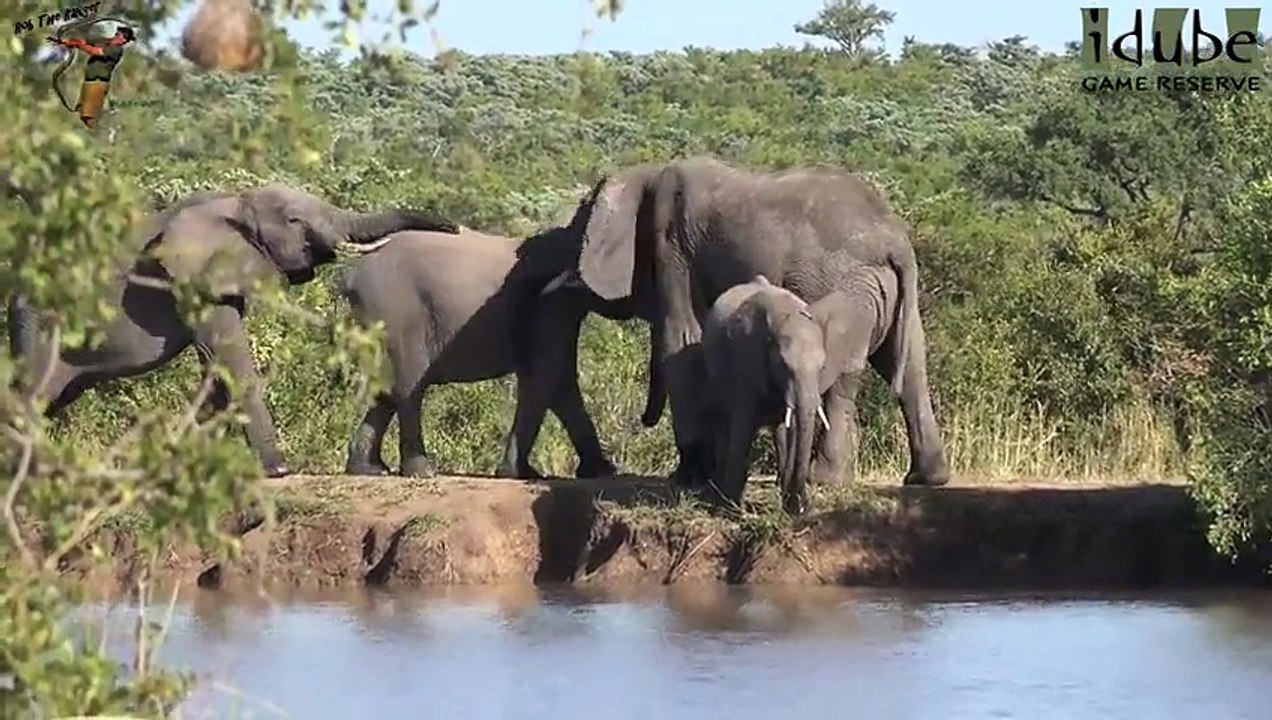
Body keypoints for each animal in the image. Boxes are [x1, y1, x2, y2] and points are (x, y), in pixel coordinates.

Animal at [6, 183, 459, 478]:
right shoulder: (197, 281)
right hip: (42, 327)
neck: (238, 201)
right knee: (32, 395)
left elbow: (215, 371)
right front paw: (278, 470)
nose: (454, 228)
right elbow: (231, 359)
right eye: (294, 220)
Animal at [338, 224, 629, 479]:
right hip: (396, 313)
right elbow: (545, 377)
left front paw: (604, 473)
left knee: (387, 390)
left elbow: (560, 382)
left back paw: (369, 469)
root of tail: (351, 275)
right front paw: (521, 474)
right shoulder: (547, 304)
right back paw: (422, 472)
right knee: (410, 387)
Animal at [548, 156, 950, 490]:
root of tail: (894, 239)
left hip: (842, 287)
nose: (642, 419)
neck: (646, 172)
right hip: (882, 291)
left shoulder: (672, 247)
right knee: (908, 365)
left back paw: (822, 480)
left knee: (845, 373)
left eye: (576, 229)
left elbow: (681, 341)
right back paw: (925, 478)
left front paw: (690, 477)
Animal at [701, 275, 831, 515]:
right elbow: (742, 423)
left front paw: (795, 507)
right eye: (784, 365)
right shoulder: (745, 356)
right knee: (723, 421)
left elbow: (794, 428)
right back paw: (719, 495)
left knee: (779, 429)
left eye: (822, 367)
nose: (801, 507)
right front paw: (731, 510)